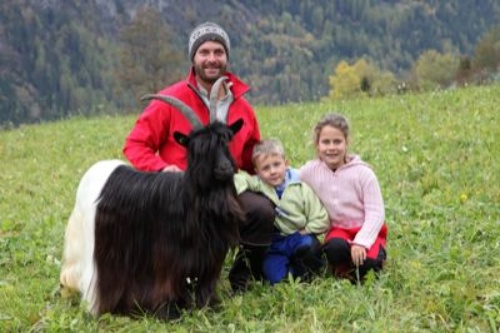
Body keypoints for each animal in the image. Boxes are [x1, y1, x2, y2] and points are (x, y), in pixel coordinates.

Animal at [60, 76, 246, 320]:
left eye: (226, 141)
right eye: (198, 148)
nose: (225, 168)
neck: (190, 200)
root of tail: (94, 171)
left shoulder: (209, 258)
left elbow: (205, 287)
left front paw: (210, 307)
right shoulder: (167, 258)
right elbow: (166, 285)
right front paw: (169, 313)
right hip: (92, 244)